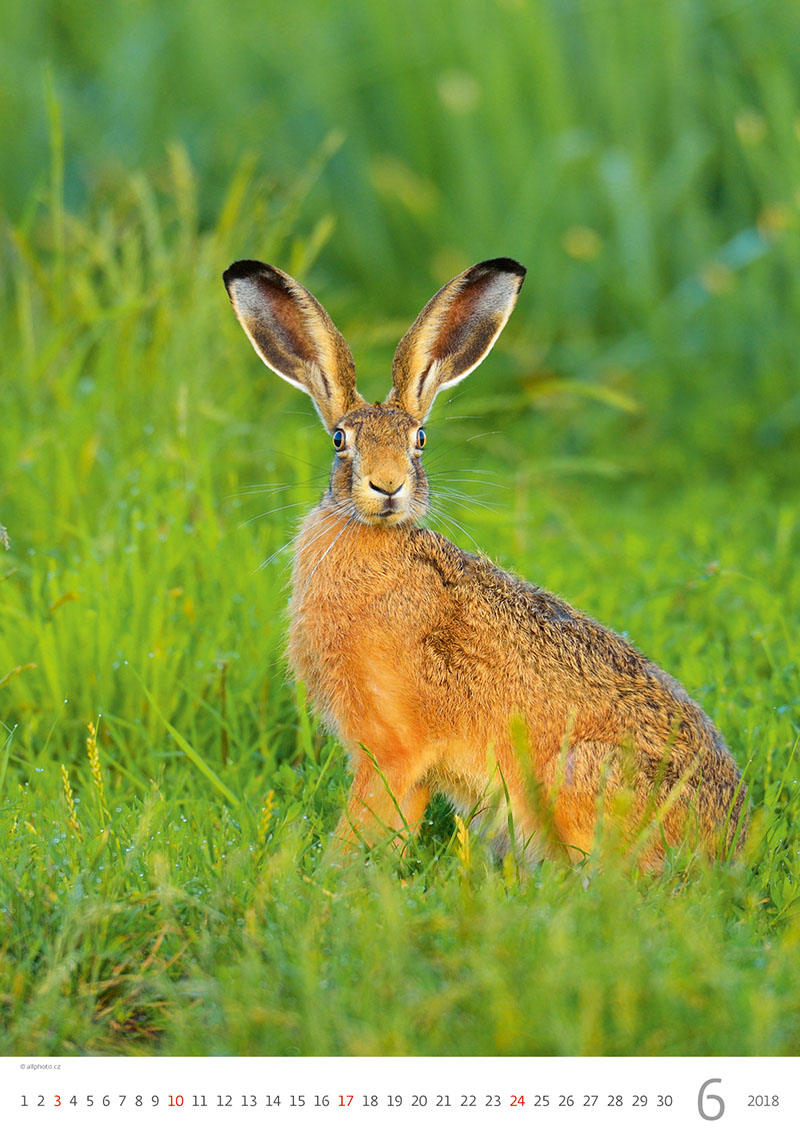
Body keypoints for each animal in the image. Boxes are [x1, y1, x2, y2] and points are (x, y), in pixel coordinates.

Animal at [223, 257, 748, 868]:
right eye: (339, 440)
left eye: (419, 440)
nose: (388, 486)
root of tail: (729, 843)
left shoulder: (394, 748)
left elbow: (364, 824)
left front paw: (332, 877)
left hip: (585, 775)